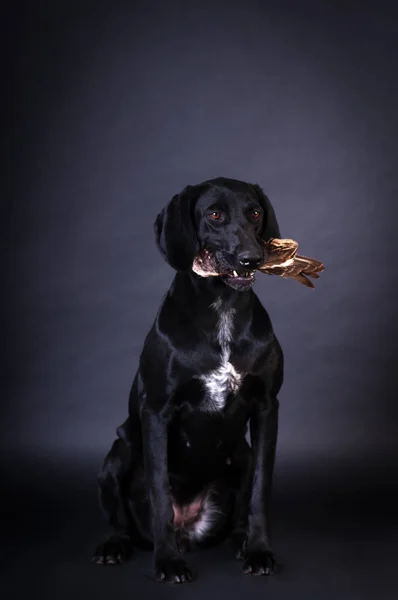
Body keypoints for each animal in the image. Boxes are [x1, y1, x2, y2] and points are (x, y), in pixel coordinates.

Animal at [93, 177, 282, 580]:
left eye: (255, 212)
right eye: (215, 215)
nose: (252, 258)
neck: (223, 308)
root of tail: (190, 529)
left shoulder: (267, 408)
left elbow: (261, 492)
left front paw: (260, 550)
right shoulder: (156, 413)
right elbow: (160, 495)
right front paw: (167, 561)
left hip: (241, 455)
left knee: (240, 510)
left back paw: (242, 541)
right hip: (119, 451)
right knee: (120, 519)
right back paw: (115, 545)